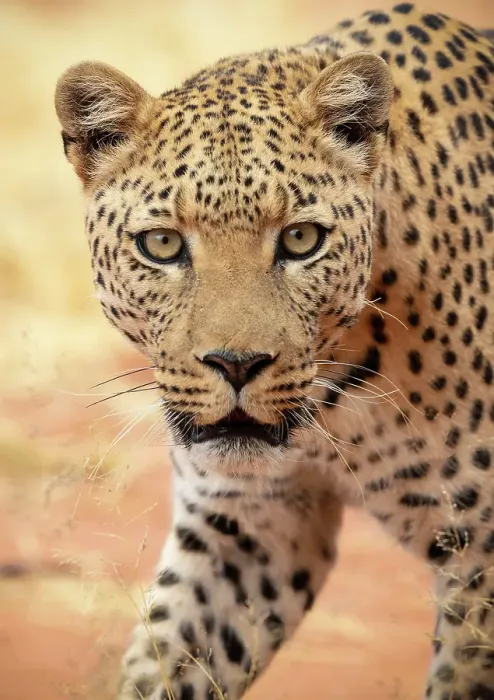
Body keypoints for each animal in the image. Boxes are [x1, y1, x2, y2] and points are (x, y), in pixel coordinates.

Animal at [54, 4, 494, 699]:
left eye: (301, 239)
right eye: (161, 244)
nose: (236, 364)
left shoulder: (482, 560)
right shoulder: (247, 528)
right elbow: (168, 662)